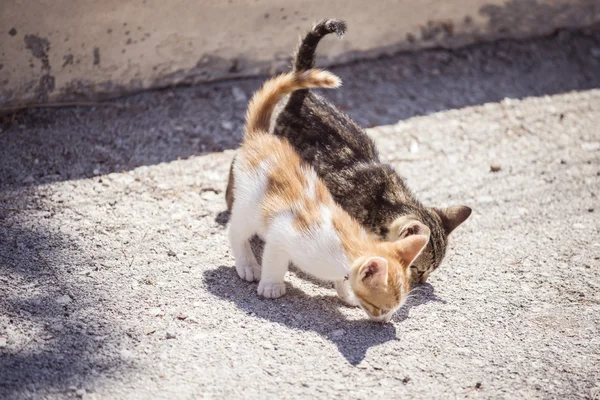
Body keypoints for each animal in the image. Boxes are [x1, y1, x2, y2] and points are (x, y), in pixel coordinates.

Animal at [227, 69, 428, 322]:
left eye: (395, 308)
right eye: (381, 308)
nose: (385, 321)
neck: (343, 251)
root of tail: (261, 137)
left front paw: (346, 294)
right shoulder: (283, 235)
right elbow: (274, 260)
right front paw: (271, 285)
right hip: (248, 203)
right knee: (236, 230)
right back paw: (247, 265)